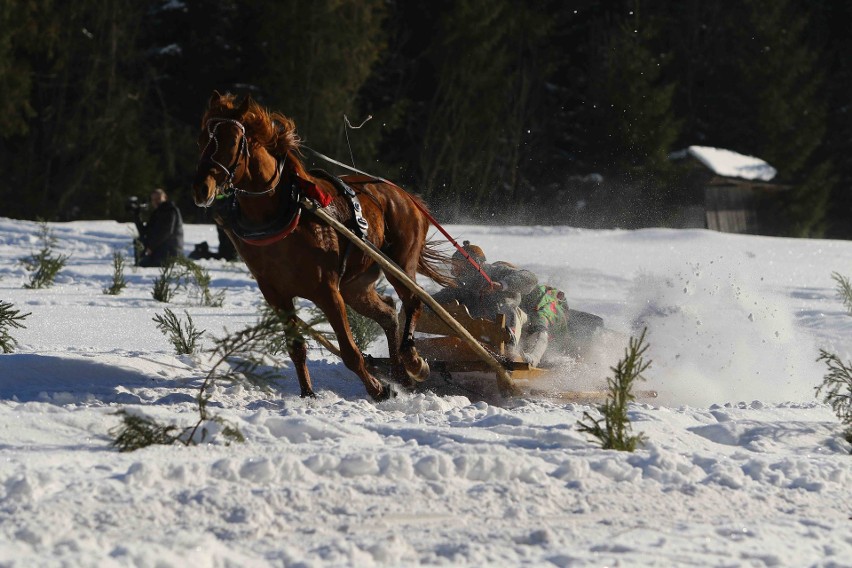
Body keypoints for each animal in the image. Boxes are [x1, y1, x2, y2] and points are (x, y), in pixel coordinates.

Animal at [193, 92, 452, 400]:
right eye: (202, 138)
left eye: (232, 141)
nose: (201, 189)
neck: (282, 215)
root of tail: (406, 195)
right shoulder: (276, 294)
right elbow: (296, 347)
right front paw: (307, 394)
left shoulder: (327, 291)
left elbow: (350, 351)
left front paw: (377, 388)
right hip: (356, 286)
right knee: (389, 313)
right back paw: (401, 373)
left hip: (399, 263)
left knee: (413, 301)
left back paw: (412, 361)